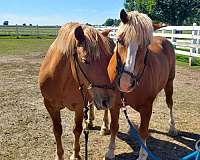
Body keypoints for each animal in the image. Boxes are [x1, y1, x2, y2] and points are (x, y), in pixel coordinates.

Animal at [38, 22, 119, 160]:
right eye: (85, 61)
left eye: (109, 60)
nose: (109, 100)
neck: (61, 80)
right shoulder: (50, 105)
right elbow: (57, 130)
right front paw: (59, 155)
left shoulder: (79, 106)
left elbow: (77, 129)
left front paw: (75, 154)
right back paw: (89, 122)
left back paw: (104, 127)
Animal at [107, 9, 177, 159]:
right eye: (119, 40)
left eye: (146, 46)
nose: (125, 83)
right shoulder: (115, 104)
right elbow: (114, 126)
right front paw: (110, 151)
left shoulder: (146, 108)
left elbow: (143, 131)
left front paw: (143, 154)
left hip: (169, 83)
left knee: (170, 103)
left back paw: (172, 127)